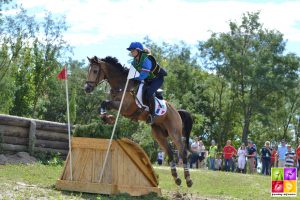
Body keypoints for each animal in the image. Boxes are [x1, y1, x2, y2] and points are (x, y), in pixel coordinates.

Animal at [83, 55, 193, 187]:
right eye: (88, 70)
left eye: (95, 71)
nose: (86, 88)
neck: (122, 85)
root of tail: (177, 111)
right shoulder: (116, 105)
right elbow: (104, 103)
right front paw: (107, 118)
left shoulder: (125, 107)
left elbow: (105, 102)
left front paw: (108, 118)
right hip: (158, 134)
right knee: (170, 152)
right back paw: (176, 178)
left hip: (174, 132)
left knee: (182, 152)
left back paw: (188, 179)